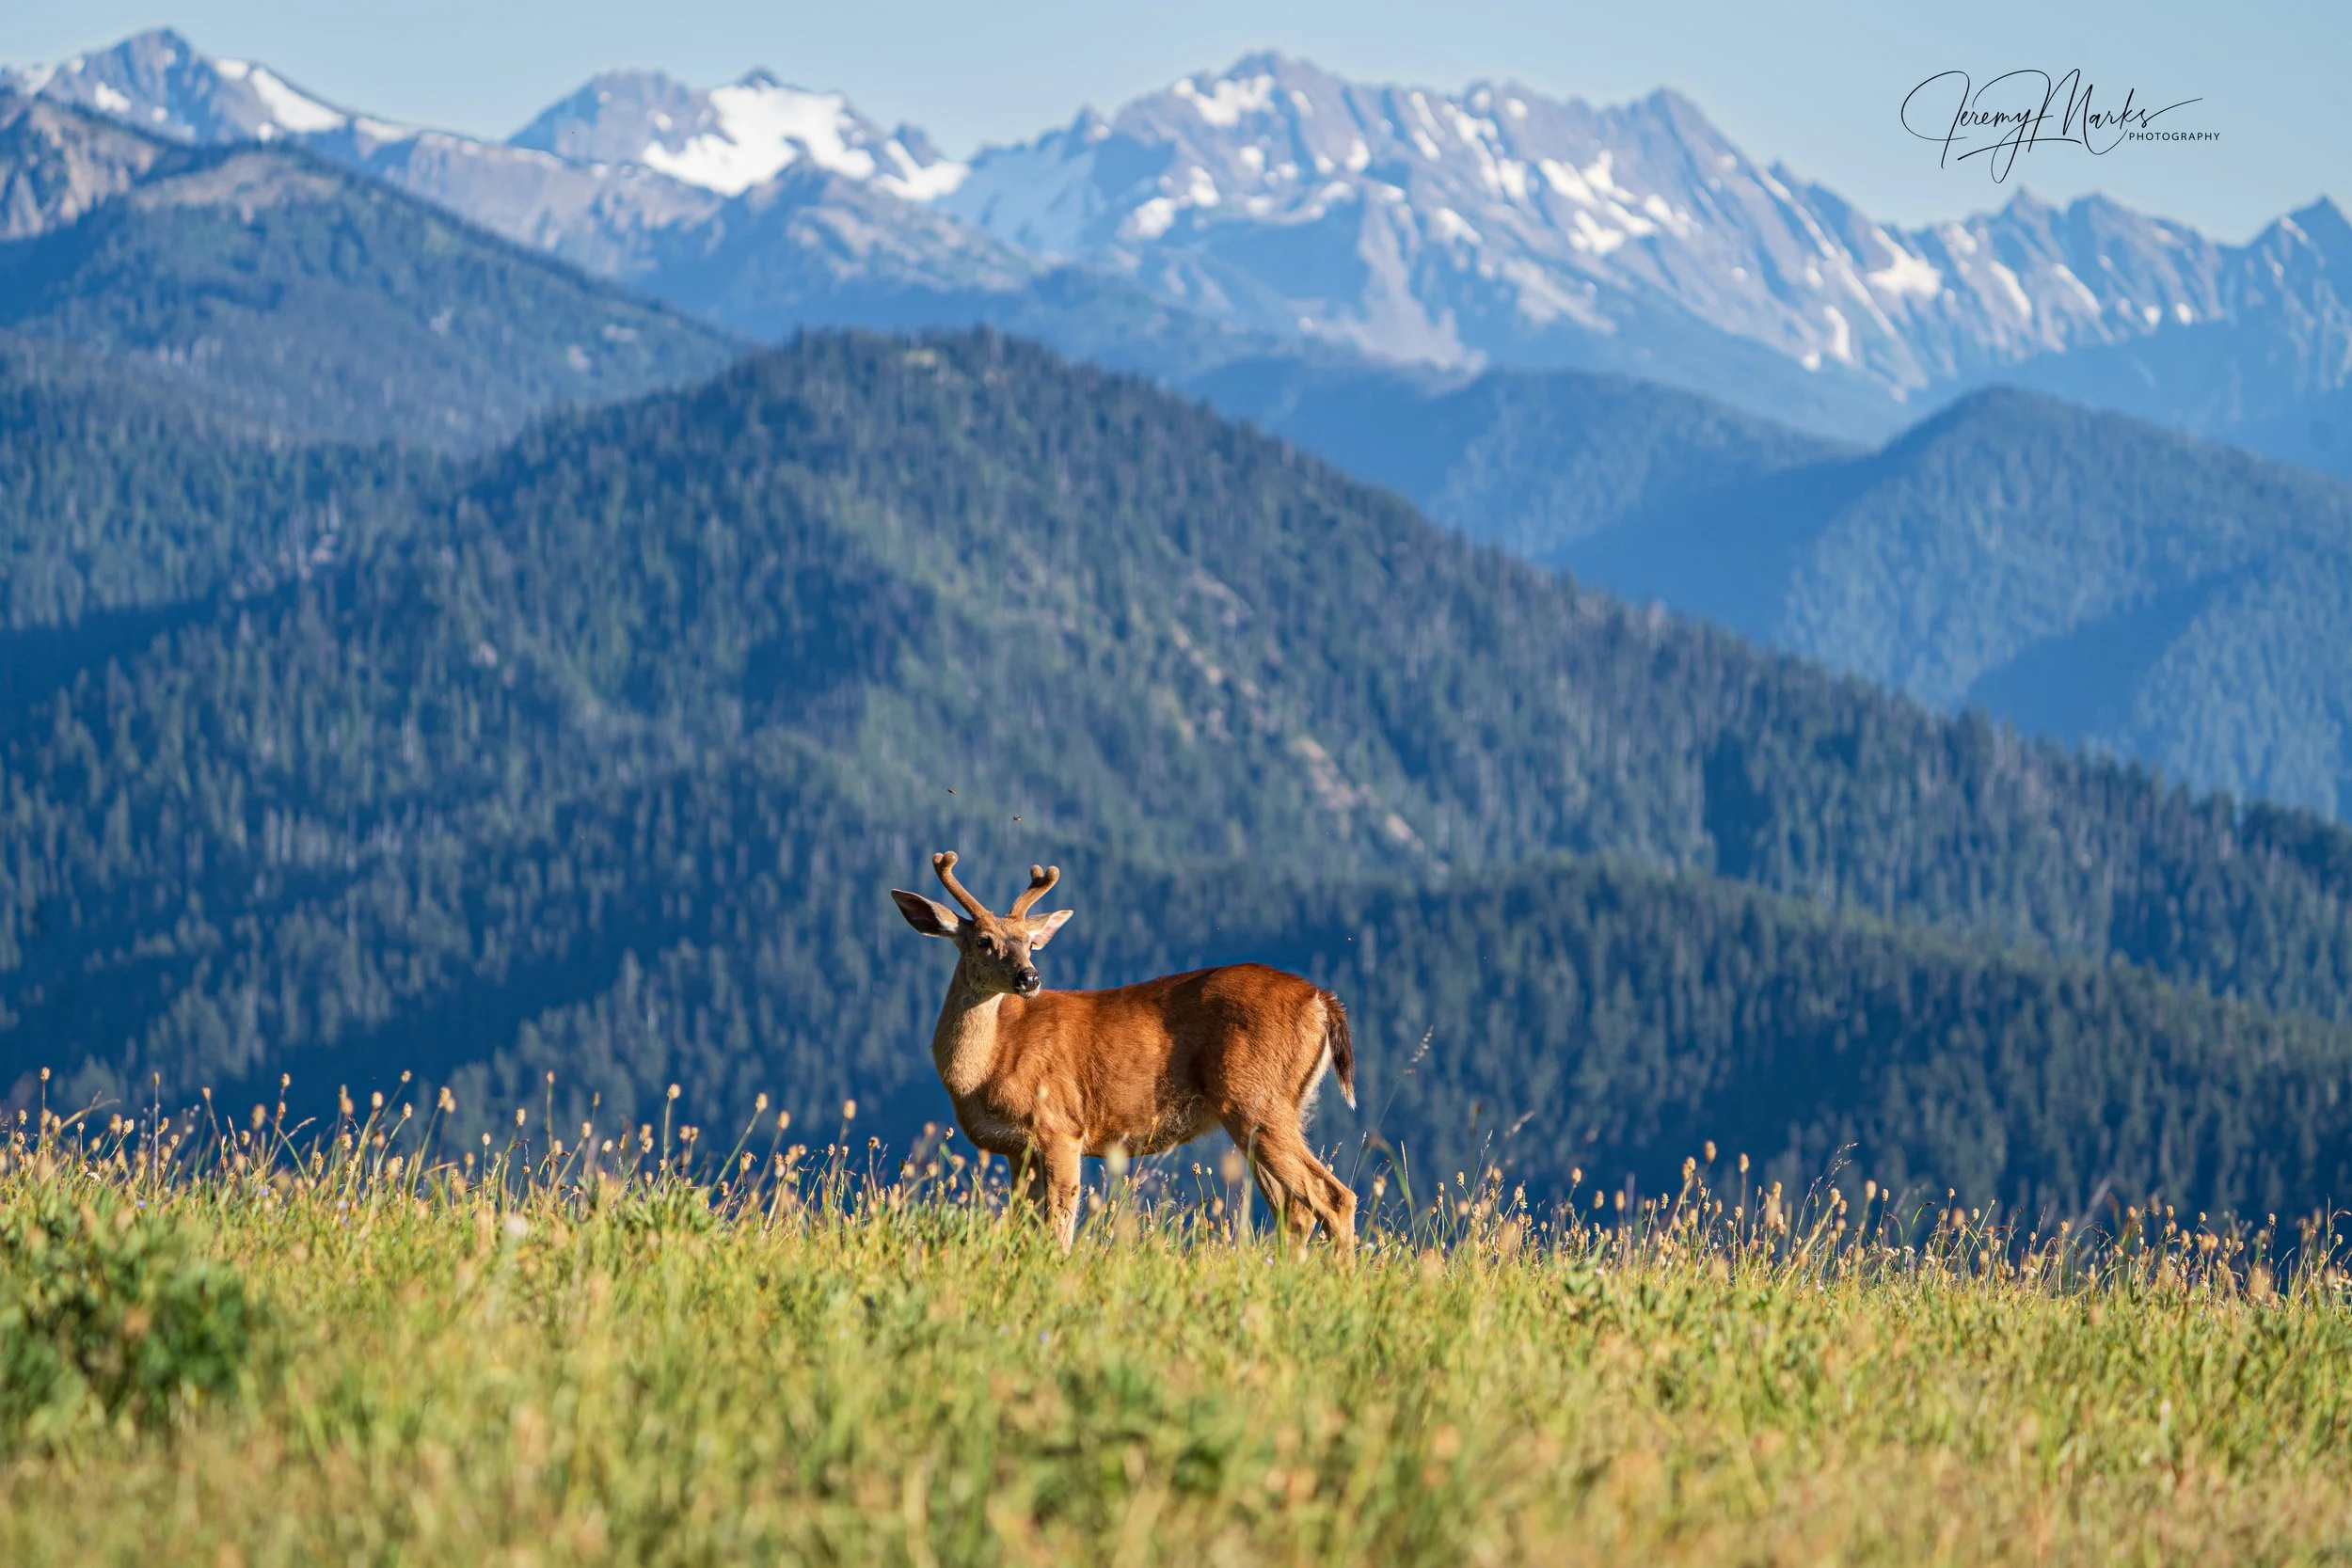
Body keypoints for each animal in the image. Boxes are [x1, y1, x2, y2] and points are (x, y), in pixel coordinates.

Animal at [890, 851, 1358, 1255]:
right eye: (984, 941)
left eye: (1029, 943)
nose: (1029, 977)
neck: (989, 1065)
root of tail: (1322, 1001)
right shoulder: (1016, 1149)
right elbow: (1027, 1226)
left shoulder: (1060, 1127)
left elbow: (1059, 1228)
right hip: (1270, 1109)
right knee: (1294, 1210)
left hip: (1256, 1098)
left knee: (1334, 1197)